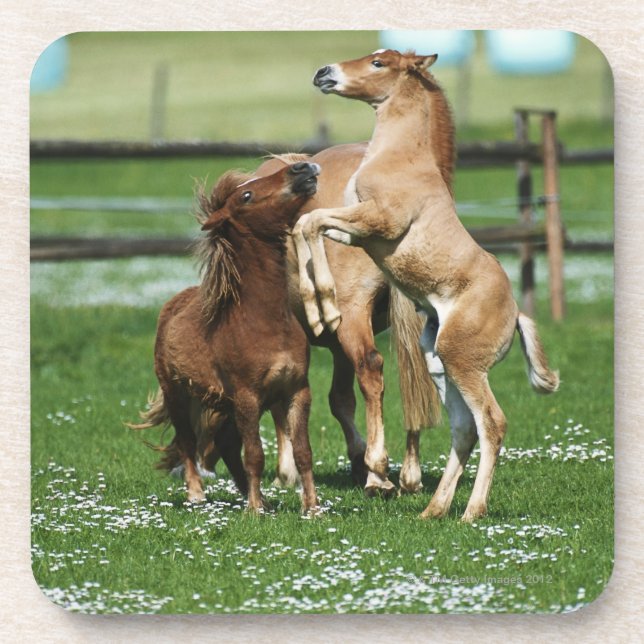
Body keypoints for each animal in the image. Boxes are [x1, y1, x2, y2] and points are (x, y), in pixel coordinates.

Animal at [131, 161, 321, 513]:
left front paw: (311, 509)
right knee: (188, 441)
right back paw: (197, 494)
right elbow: (255, 455)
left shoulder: (296, 392)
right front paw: (254, 512)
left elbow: (303, 453)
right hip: (178, 394)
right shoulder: (247, 397)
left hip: (226, 406)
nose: (302, 168)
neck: (266, 323)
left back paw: (252, 495)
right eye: (246, 195)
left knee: (227, 444)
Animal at [293, 49, 560, 522]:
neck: (401, 157)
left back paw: (471, 511)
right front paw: (316, 304)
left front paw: (324, 304)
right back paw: (433, 510)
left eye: (379, 63)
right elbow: (308, 224)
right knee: (463, 429)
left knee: (492, 423)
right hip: (438, 360)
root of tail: (515, 314)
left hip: (463, 361)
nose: (324, 73)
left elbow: (313, 221)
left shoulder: (378, 222)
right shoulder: (357, 231)